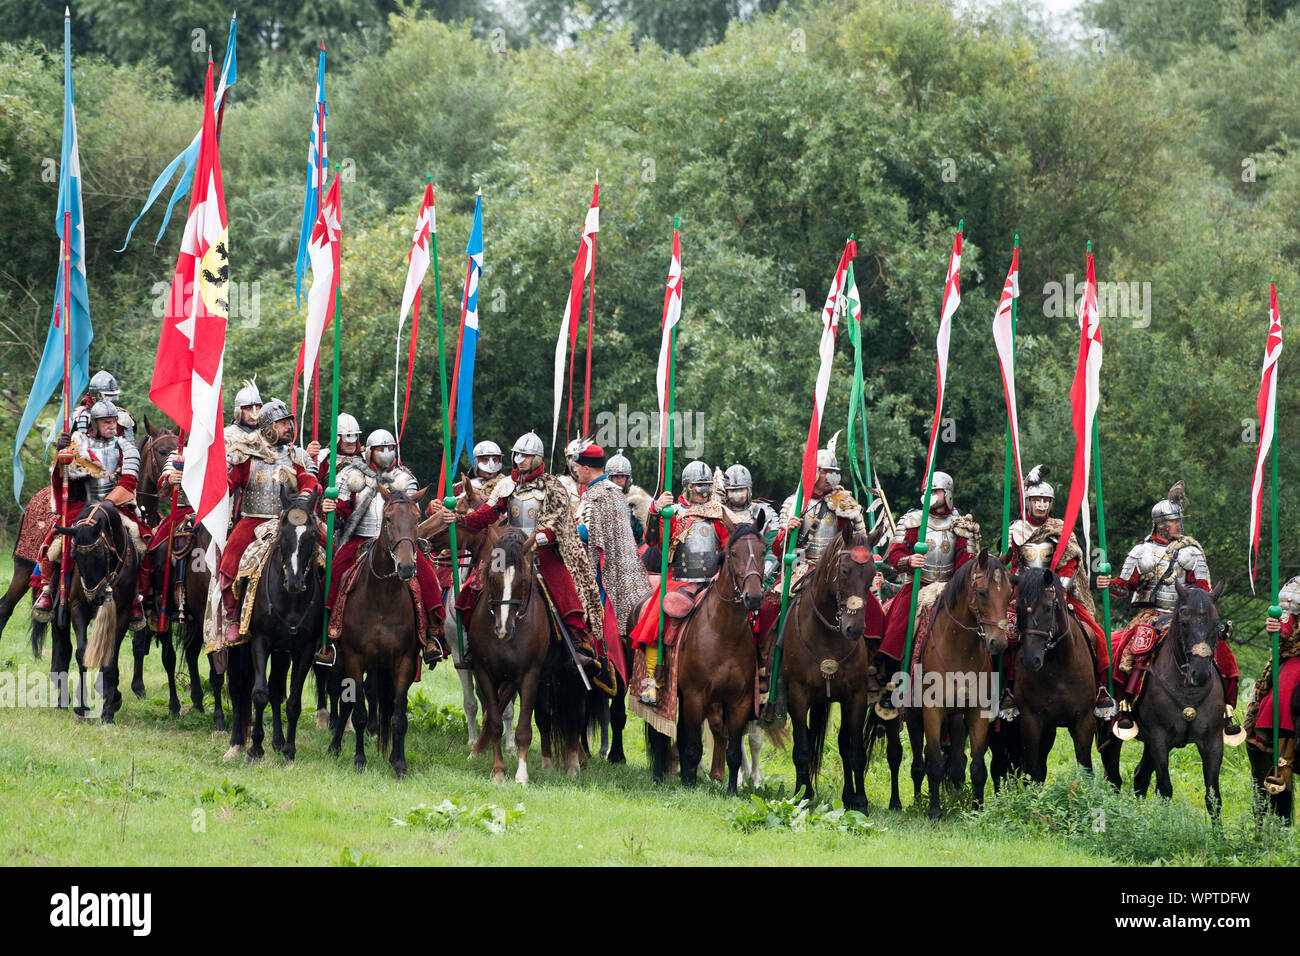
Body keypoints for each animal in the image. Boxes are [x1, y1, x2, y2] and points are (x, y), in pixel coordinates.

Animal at [325, 486, 426, 780]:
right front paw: (359, 760)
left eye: (417, 518)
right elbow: (357, 711)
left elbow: (398, 716)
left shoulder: (404, 662)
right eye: (389, 519)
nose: (406, 567)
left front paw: (399, 763)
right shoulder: (354, 658)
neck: (382, 598)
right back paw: (335, 746)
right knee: (346, 702)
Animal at [647, 520, 764, 796]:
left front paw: (731, 791)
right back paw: (658, 776)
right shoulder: (695, 696)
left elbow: (733, 751)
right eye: (733, 553)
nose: (753, 597)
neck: (724, 634)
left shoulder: (740, 701)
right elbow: (692, 746)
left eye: (764, 551)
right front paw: (689, 785)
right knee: (659, 733)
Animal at [780, 535, 883, 811]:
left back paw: (847, 795)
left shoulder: (855, 698)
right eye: (845, 571)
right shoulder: (797, 696)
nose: (854, 629)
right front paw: (801, 795)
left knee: (843, 743)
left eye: (872, 573)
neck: (827, 637)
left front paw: (860, 801)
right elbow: (802, 749)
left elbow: (854, 750)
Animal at [899, 554, 1019, 822]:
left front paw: (977, 809)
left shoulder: (977, 713)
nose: (998, 643)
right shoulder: (932, 711)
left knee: (956, 762)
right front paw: (934, 811)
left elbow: (977, 767)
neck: (959, 648)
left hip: (955, 719)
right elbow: (933, 763)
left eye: (1009, 593)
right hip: (913, 717)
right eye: (982, 592)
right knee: (918, 763)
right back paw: (918, 801)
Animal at [1102, 580, 1222, 816]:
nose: (1200, 674)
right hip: (1111, 733)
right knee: (1113, 776)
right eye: (1184, 620)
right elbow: (1165, 789)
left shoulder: (1213, 741)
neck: (1187, 692)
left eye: (1216, 623)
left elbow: (1213, 798)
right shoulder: (1159, 738)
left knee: (1140, 776)